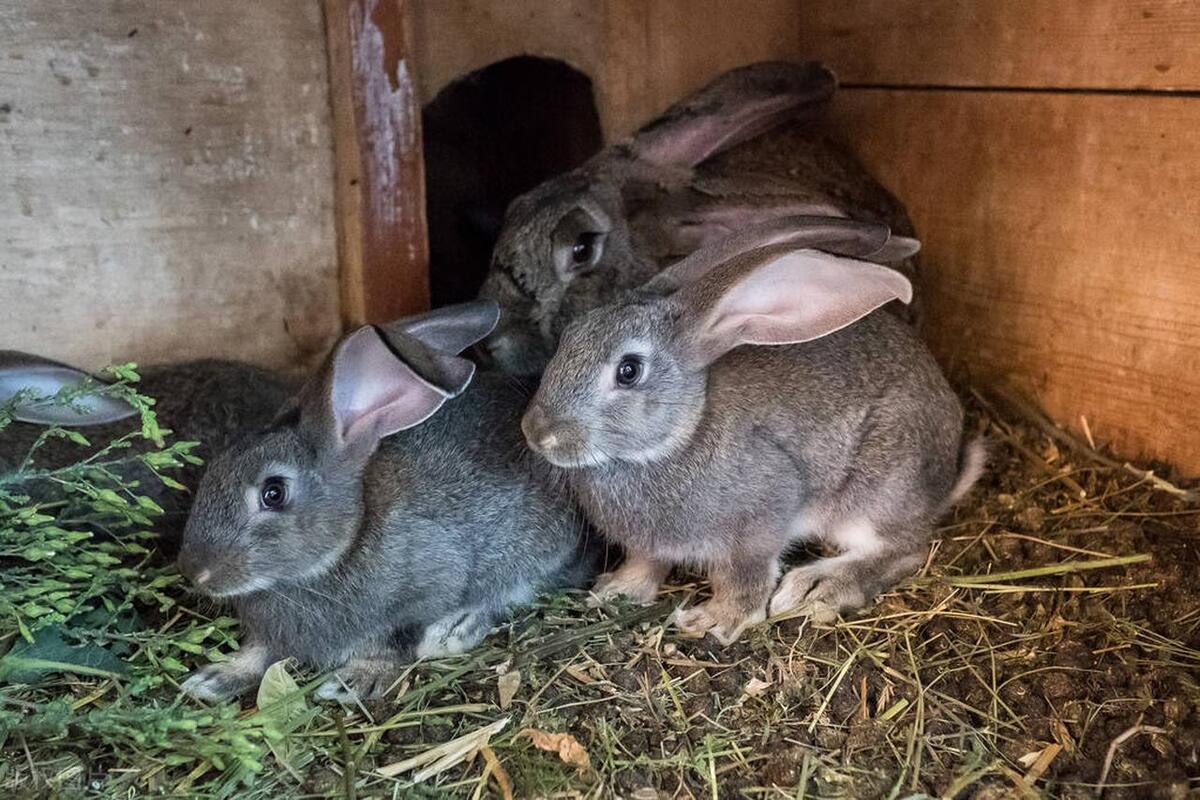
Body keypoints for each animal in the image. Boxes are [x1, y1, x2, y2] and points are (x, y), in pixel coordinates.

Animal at [175, 303, 592, 705]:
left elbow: (391, 641)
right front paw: (213, 679)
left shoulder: (426, 588)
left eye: (273, 493)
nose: (196, 573)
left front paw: (356, 680)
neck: (345, 542)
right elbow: (258, 653)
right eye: (213, 468)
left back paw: (455, 628)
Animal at [520, 217, 979, 642]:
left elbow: (743, 576)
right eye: (569, 336)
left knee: (904, 549)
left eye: (629, 371)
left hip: (877, 490)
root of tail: (950, 468)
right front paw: (617, 590)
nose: (536, 432)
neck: (681, 433)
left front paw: (714, 621)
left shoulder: (758, 522)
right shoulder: (649, 545)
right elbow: (645, 562)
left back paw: (819, 585)